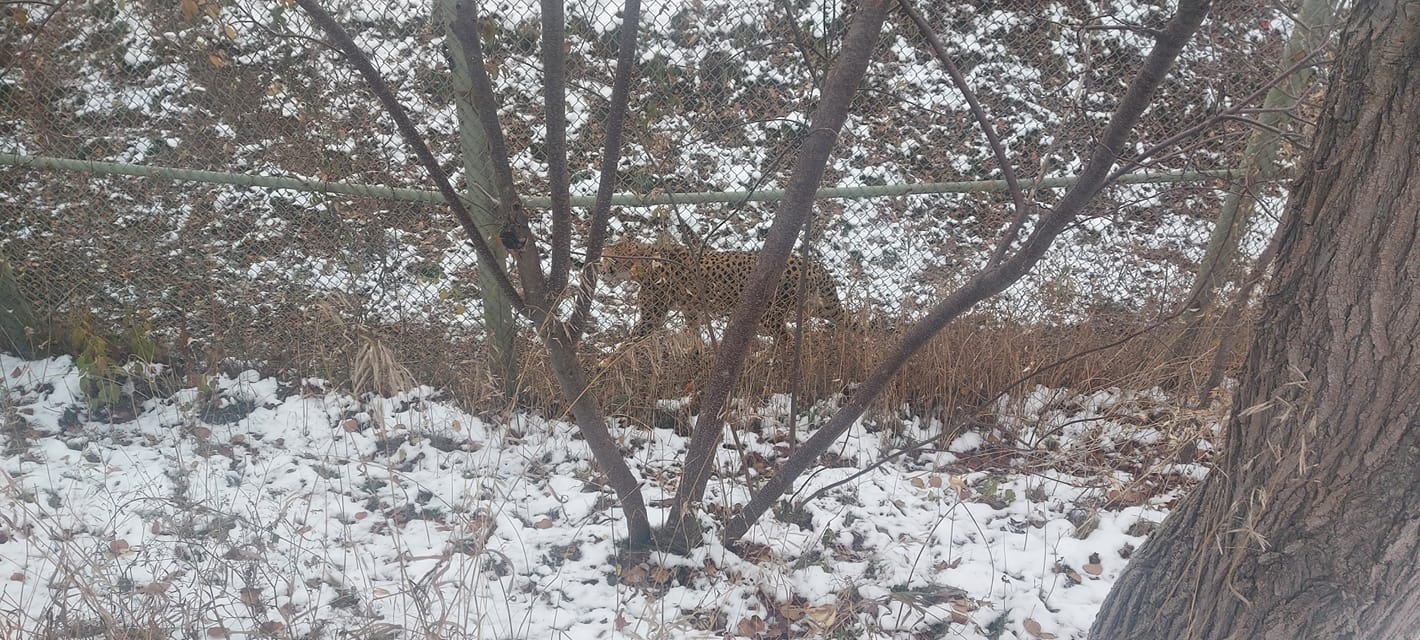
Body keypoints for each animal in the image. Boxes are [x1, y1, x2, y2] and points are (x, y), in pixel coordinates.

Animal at [596, 239, 840, 340]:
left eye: (605, 259)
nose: (600, 271)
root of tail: (813, 264)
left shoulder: (651, 317)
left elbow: (631, 339)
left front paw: (605, 363)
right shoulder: (691, 310)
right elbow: (693, 332)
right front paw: (695, 353)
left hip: (771, 314)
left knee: (785, 340)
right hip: (816, 307)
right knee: (847, 319)